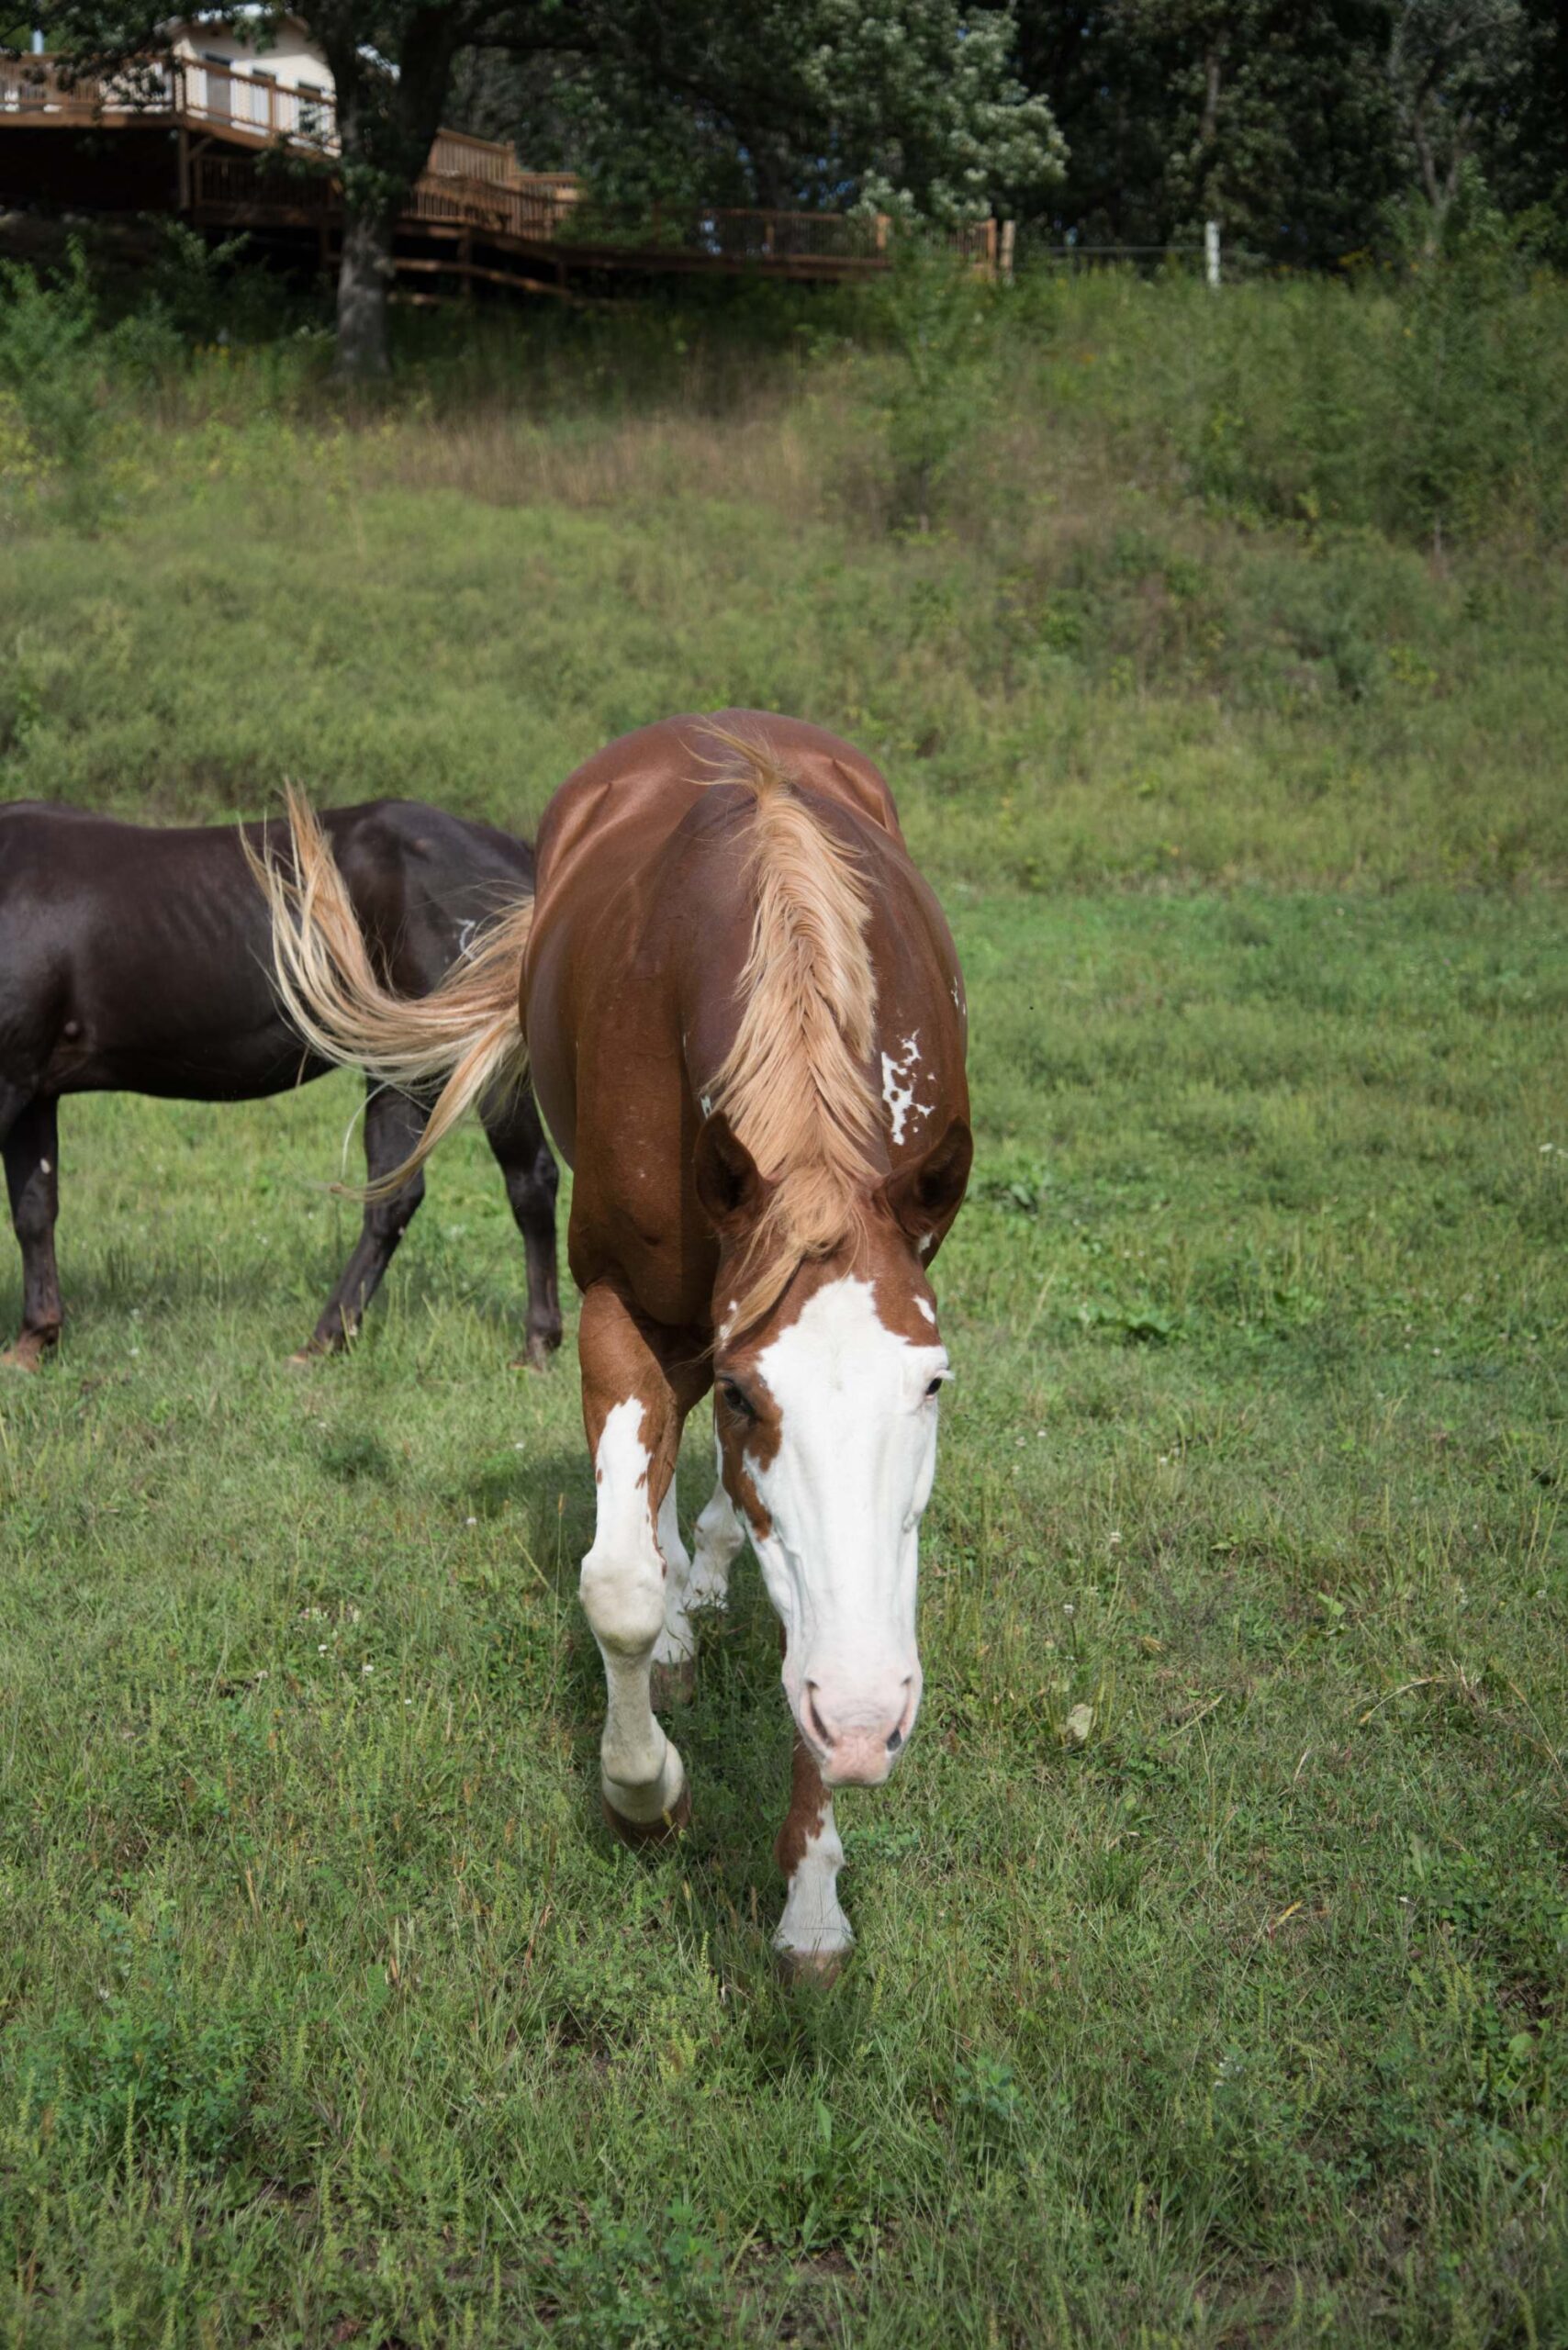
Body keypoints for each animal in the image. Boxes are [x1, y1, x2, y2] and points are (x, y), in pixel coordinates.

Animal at [0, 799, 563, 1371]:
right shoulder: (33, 1089)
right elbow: (34, 1211)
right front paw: (34, 1338)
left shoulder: (10, 1085)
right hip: (404, 1063)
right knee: (394, 1196)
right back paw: (326, 1338)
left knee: (529, 1179)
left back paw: (537, 1343)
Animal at [255, 715, 971, 1976]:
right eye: (744, 1393)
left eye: (931, 1385)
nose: (868, 1722)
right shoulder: (622, 1316)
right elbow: (622, 1583)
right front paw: (645, 1794)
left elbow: (809, 1600)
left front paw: (811, 1895)